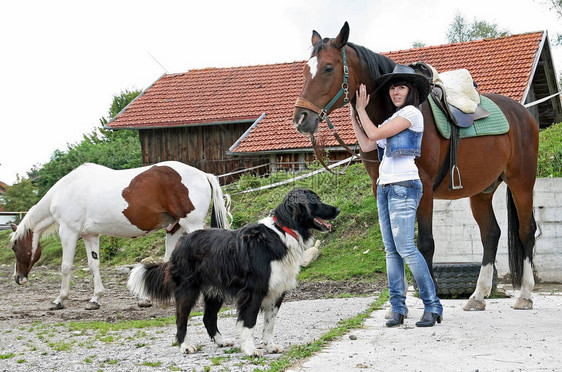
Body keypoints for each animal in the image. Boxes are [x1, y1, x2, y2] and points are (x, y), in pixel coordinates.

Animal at [8, 161, 229, 310]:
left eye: (13, 247)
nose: (18, 278)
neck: (66, 190)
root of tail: (203, 174)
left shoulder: (68, 232)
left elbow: (66, 267)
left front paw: (59, 300)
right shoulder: (90, 236)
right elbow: (93, 265)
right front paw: (95, 299)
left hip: (191, 226)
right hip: (173, 228)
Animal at [127, 187, 336, 356]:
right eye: (315, 201)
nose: (338, 210)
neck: (283, 231)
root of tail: (182, 241)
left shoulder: (277, 291)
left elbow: (269, 324)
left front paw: (269, 346)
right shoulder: (254, 291)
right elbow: (249, 322)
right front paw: (251, 349)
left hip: (214, 291)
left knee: (208, 318)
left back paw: (221, 341)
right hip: (187, 289)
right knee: (181, 318)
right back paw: (185, 346)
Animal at [290, 21, 536, 310]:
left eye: (328, 68)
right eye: (305, 70)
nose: (301, 118)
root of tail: (523, 113)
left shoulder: (424, 188)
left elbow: (425, 243)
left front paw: (430, 300)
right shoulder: (380, 187)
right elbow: (394, 242)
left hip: (521, 183)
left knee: (526, 231)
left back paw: (525, 295)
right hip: (482, 192)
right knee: (491, 234)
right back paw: (477, 296)